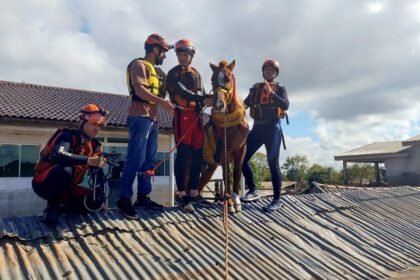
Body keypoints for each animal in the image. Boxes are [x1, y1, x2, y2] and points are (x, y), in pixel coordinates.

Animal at [198, 59, 249, 212]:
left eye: (228, 78)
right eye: (212, 79)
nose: (218, 104)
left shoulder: (242, 148)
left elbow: (236, 172)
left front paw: (236, 201)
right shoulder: (224, 150)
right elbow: (227, 175)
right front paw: (230, 203)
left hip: (209, 167)